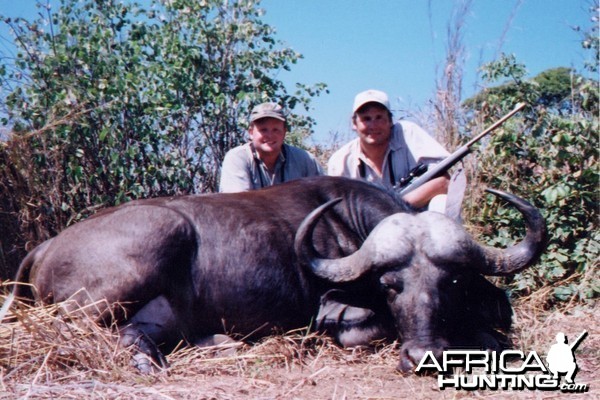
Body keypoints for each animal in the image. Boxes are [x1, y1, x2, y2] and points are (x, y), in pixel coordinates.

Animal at [2, 177, 544, 374]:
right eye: (391, 287)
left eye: (449, 283)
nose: (424, 355)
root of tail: (45, 246)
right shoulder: (334, 311)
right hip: (147, 250)